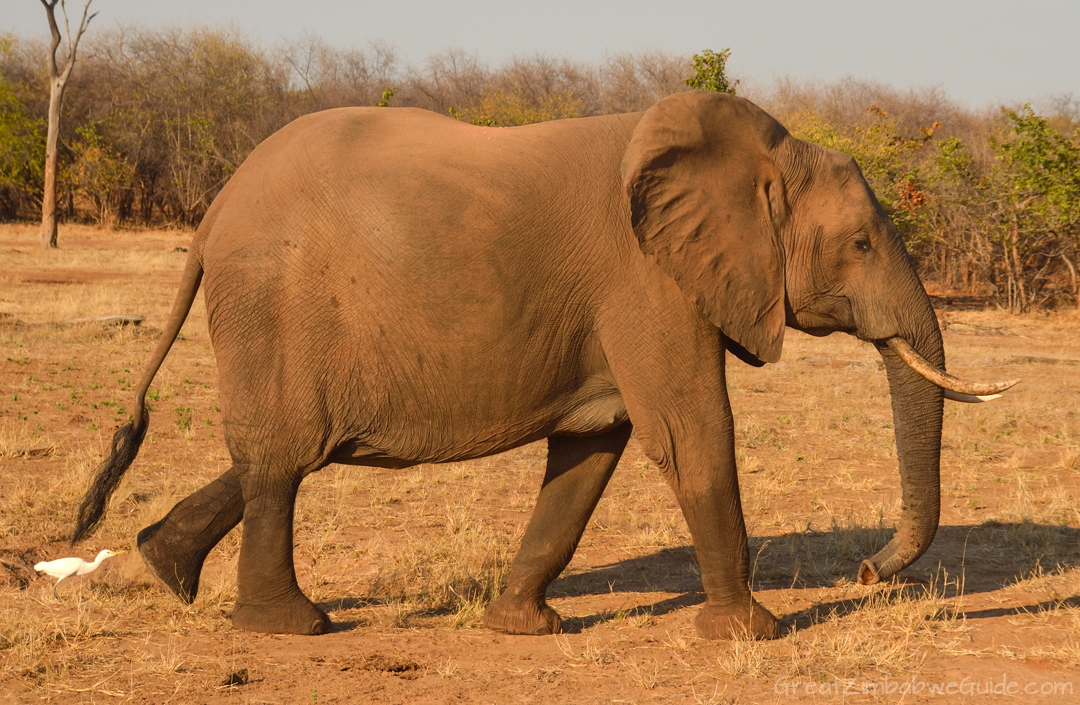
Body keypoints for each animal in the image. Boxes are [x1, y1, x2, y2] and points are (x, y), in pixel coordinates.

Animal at [71, 90, 1015, 634]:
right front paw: (754, 634)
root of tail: (213, 213)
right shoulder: (646, 278)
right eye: (860, 244)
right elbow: (691, 432)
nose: (868, 570)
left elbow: (594, 448)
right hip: (271, 300)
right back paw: (293, 629)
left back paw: (165, 568)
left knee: (281, 450)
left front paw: (521, 627)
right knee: (284, 457)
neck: (757, 155)